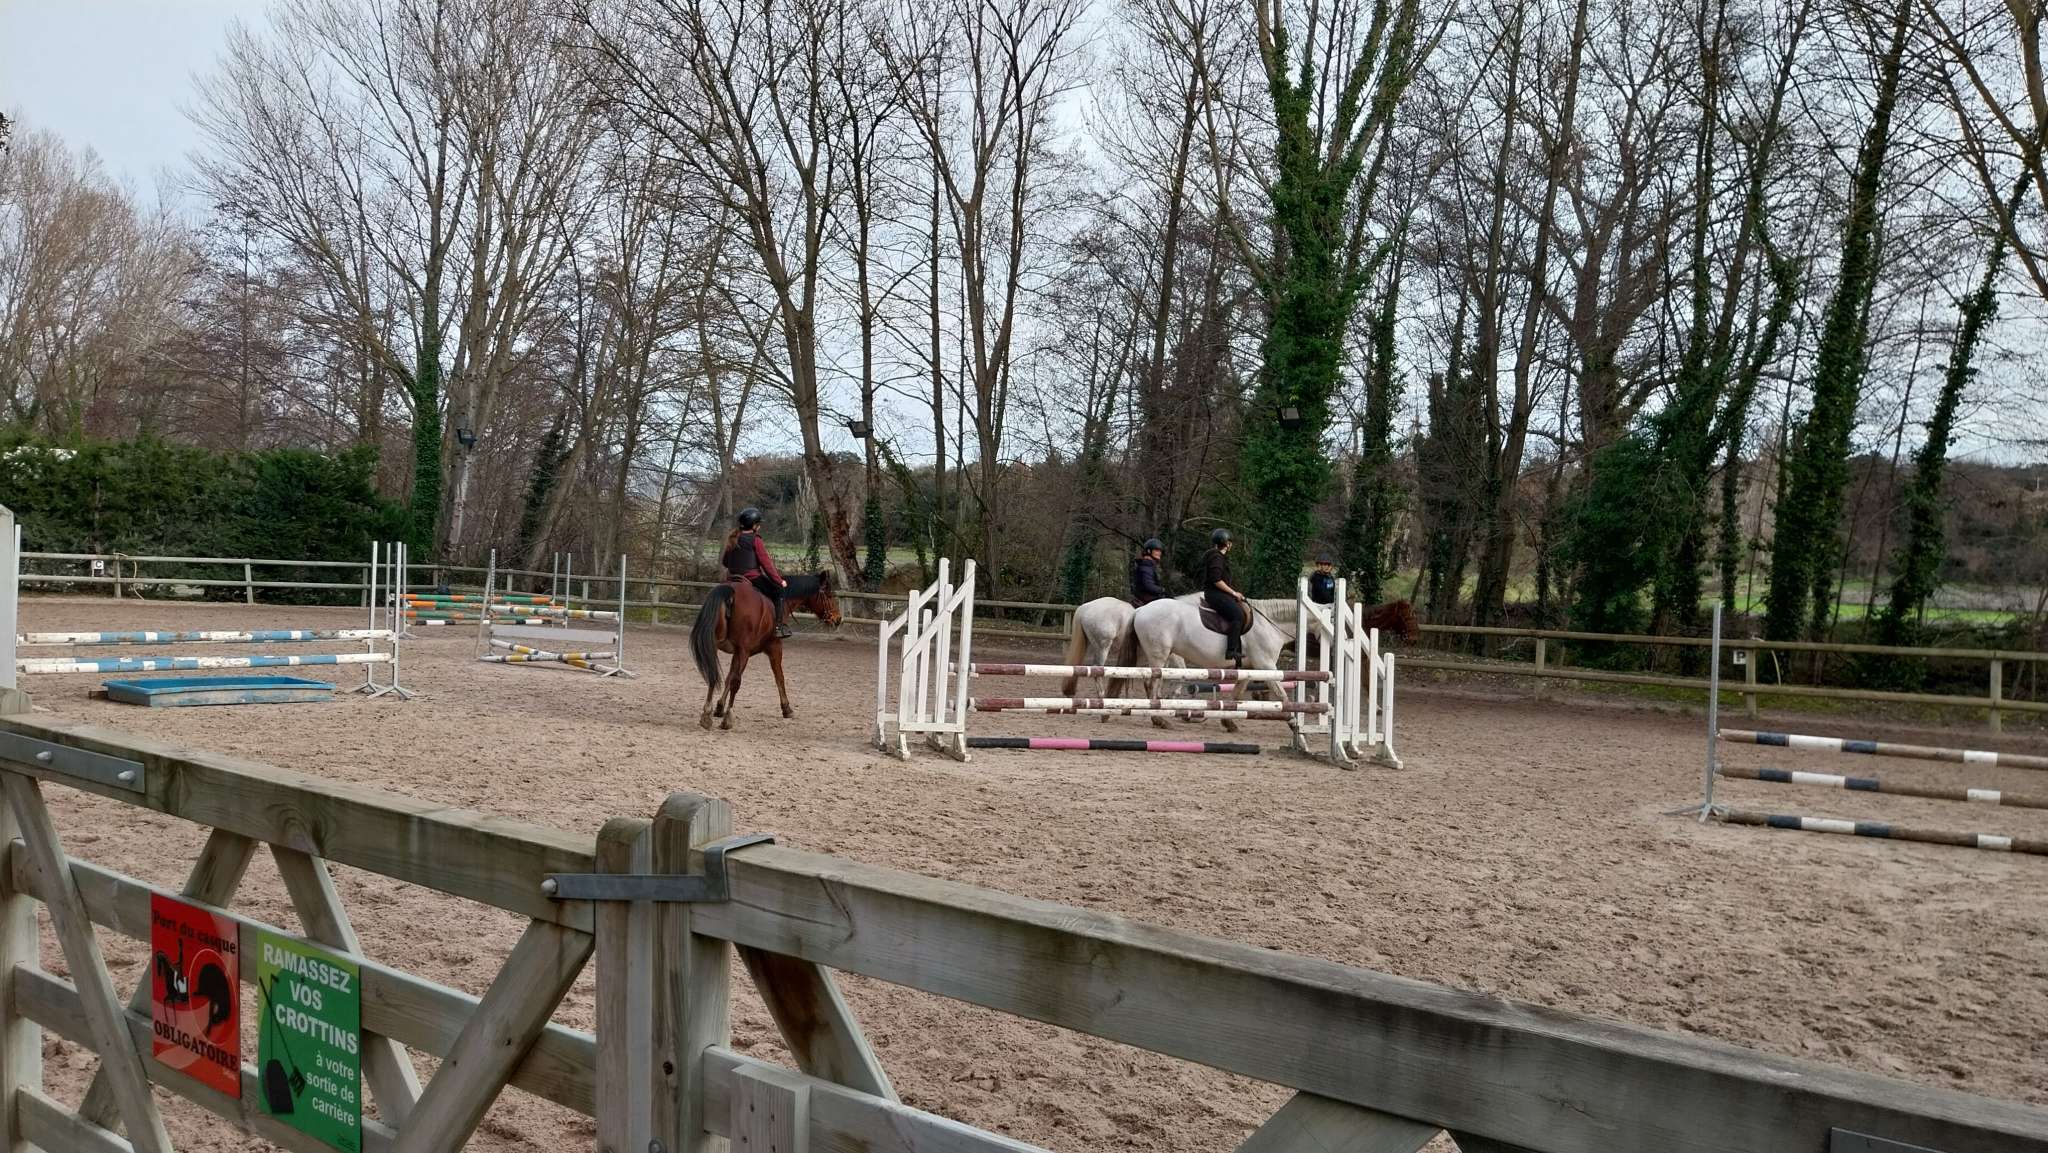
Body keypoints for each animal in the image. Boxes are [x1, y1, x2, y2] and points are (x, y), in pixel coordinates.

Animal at [690, 571, 842, 730]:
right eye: (830, 595)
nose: (838, 618)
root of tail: (730, 591)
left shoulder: (736, 653)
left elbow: (729, 676)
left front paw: (719, 707)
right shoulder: (774, 648)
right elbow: (779, 677)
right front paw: (786, 708)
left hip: (715, 646)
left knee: (713, 674)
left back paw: (707, 714)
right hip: (744, 651)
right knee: (735, 682)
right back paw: (728, 718)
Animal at [1118, 596, 1301, 731]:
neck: (1269, 625)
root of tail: (1141, 609)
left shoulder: (1249, 669)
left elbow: (1236, 694)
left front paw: (1229, 723)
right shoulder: (1266, 666)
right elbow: (1282, 695)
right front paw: (1293, 723)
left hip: (1150, 654)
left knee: (1147, 681)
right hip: (1159, 655)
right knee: (1153, 683)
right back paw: (1159, 719)